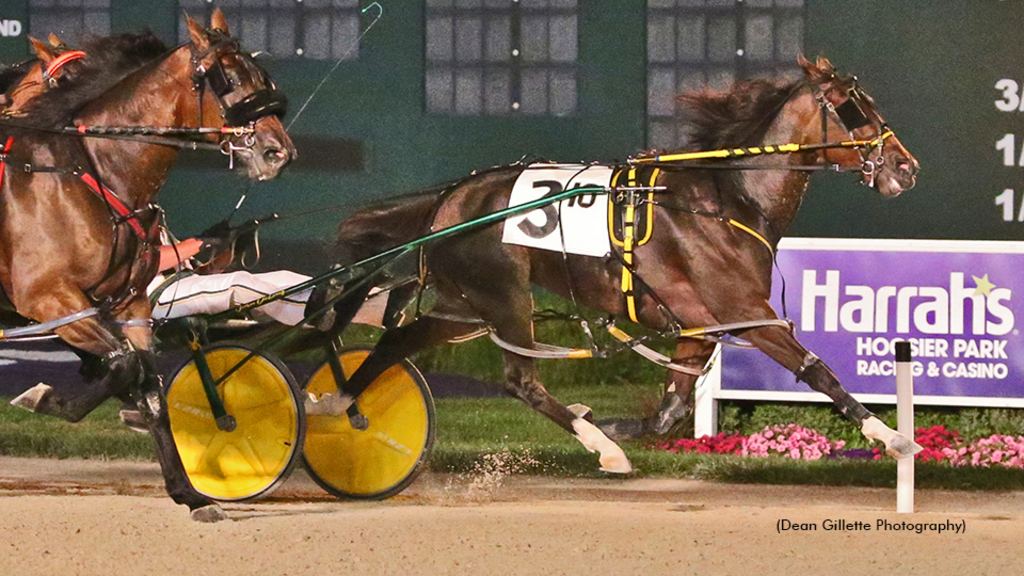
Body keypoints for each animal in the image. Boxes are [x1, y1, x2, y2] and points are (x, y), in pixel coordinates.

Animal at [4, 10, 299, 520]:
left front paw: (190, 493)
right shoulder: (49, 300)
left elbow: (148, 384)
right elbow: (125, 367)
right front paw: (47, 399)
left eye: (262, 74)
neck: (89, 173)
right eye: (227, 76)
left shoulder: (130, 306)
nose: (277, 150)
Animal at [325, 56, 921, 473]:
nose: (906, 166)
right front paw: (892, 436)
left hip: (466, 305)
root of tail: (450, 198)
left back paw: (342, 402)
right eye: (856, 109)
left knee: (398, 340)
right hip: (506, 298)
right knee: (521, 380)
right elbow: (817, 368)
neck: (726, 200)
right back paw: (603, 450)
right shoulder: (745, 311)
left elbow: (669, 411)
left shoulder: (701, 324)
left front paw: (610, 421)